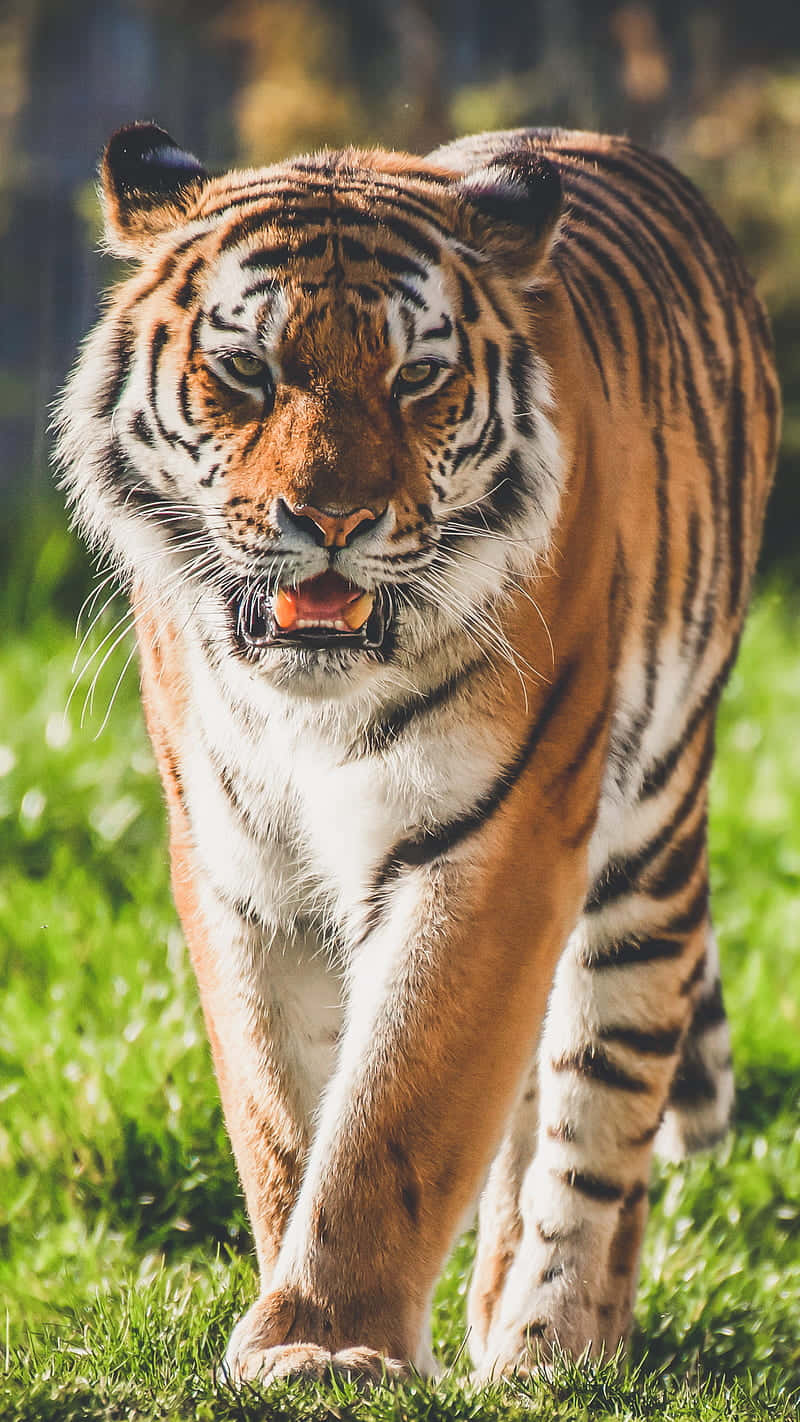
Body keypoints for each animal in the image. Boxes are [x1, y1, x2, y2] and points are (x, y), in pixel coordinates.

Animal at [56, 120, 780, 1384]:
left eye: (414, 379)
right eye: (246, 371)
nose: (331, 520)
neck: (310, 707)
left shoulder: (493, 840)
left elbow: (400, 1109)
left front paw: (327, 1342)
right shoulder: (238, 866)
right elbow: (282, 1112)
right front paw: (300, 1327)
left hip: (644, 846)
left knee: (602, 1102)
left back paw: (553, 1342)